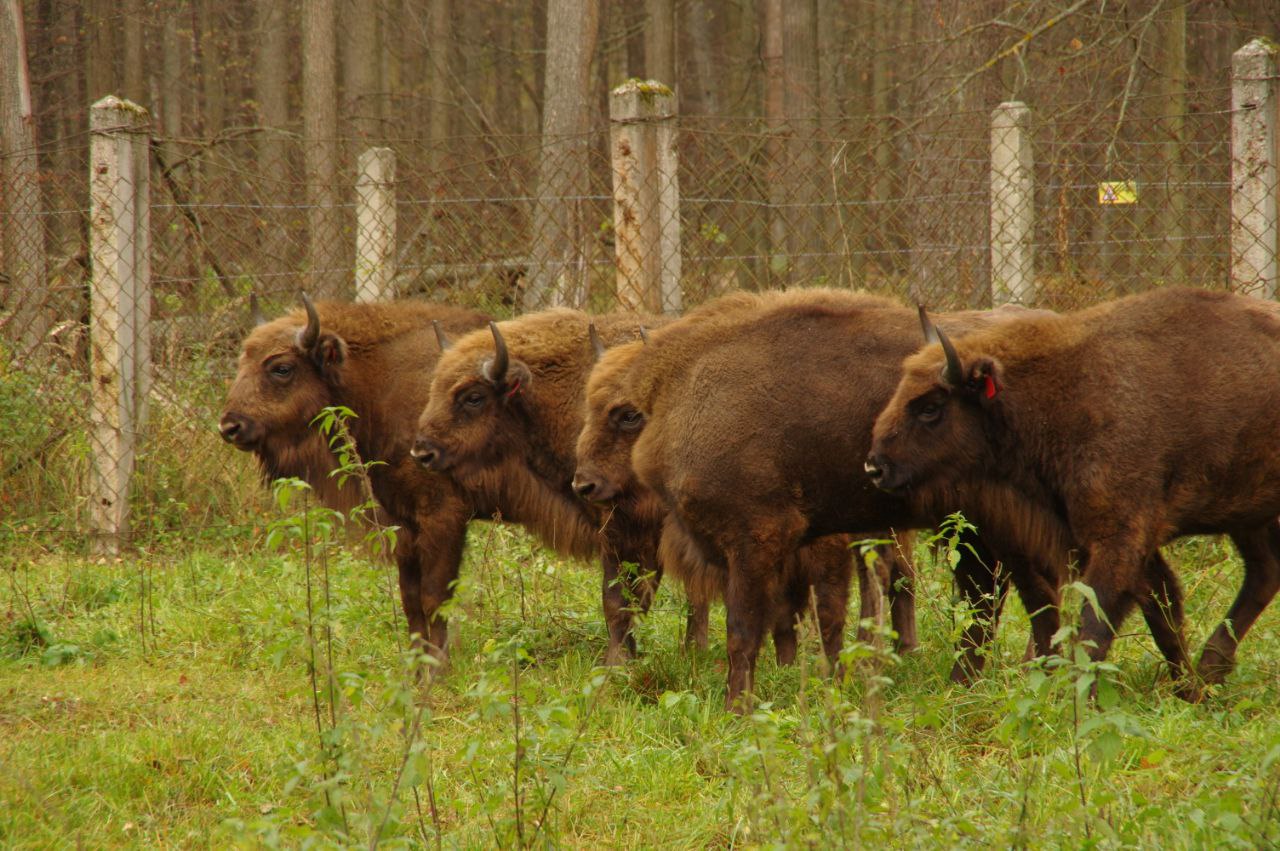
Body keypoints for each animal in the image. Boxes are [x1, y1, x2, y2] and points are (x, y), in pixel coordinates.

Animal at [218, 295, 488, 660]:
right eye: (241, 362)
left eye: (281, 368)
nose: (230, 426)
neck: (377, 382)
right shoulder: (402, 523)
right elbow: (411, 601)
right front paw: (416, 668)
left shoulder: (442, 517)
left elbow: (434, 599)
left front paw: (438, 667)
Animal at [860, 286, 1280, 696]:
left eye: (931, 407)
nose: (876, 467)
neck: (1057, 396)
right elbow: (1162, 608)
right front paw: (1188, 688)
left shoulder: (1120, 539)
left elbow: (1098, 623)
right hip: (1250, 516)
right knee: (1264, 572)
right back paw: (1211, 669)